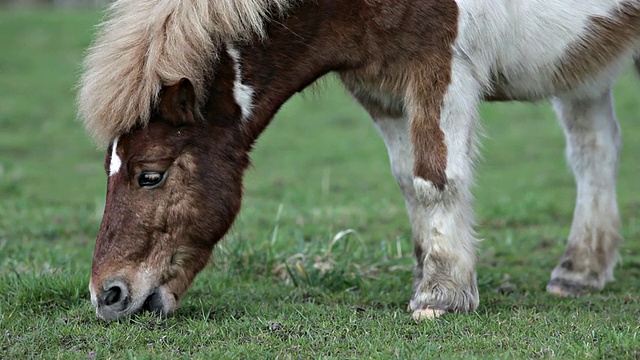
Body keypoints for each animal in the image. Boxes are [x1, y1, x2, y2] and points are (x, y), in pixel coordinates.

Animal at [79, 0, 636, 320]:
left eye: (150, 175)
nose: (107, 296)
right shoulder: (381, 88)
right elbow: (409, 181)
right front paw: (430, 274)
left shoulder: (441, 67)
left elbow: (435, 176)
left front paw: (440, 295)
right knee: (595, 151)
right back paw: (580, 269)